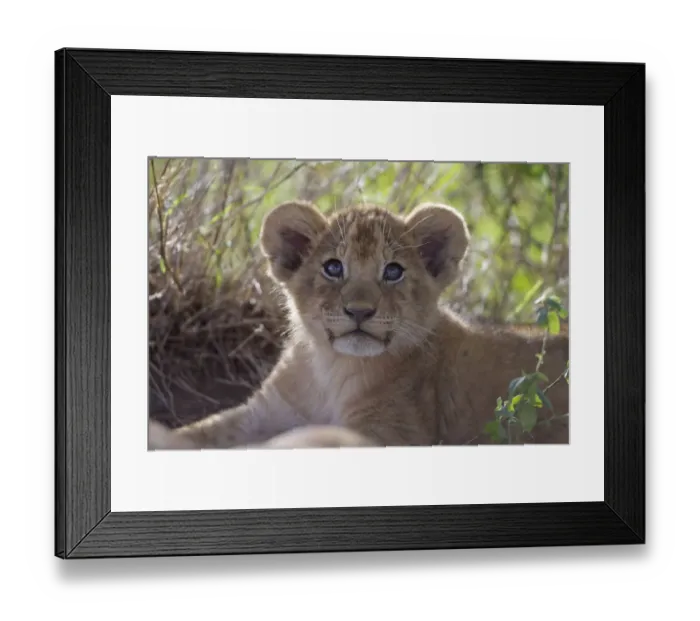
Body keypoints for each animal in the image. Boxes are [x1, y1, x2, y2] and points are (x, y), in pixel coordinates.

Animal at [149, 200, 569, 450]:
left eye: (393, 271)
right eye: (333, 268)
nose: (360, 311)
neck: (329, 369)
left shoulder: (391, 434)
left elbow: (308, 440)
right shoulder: (263, 413)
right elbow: (203, 430)